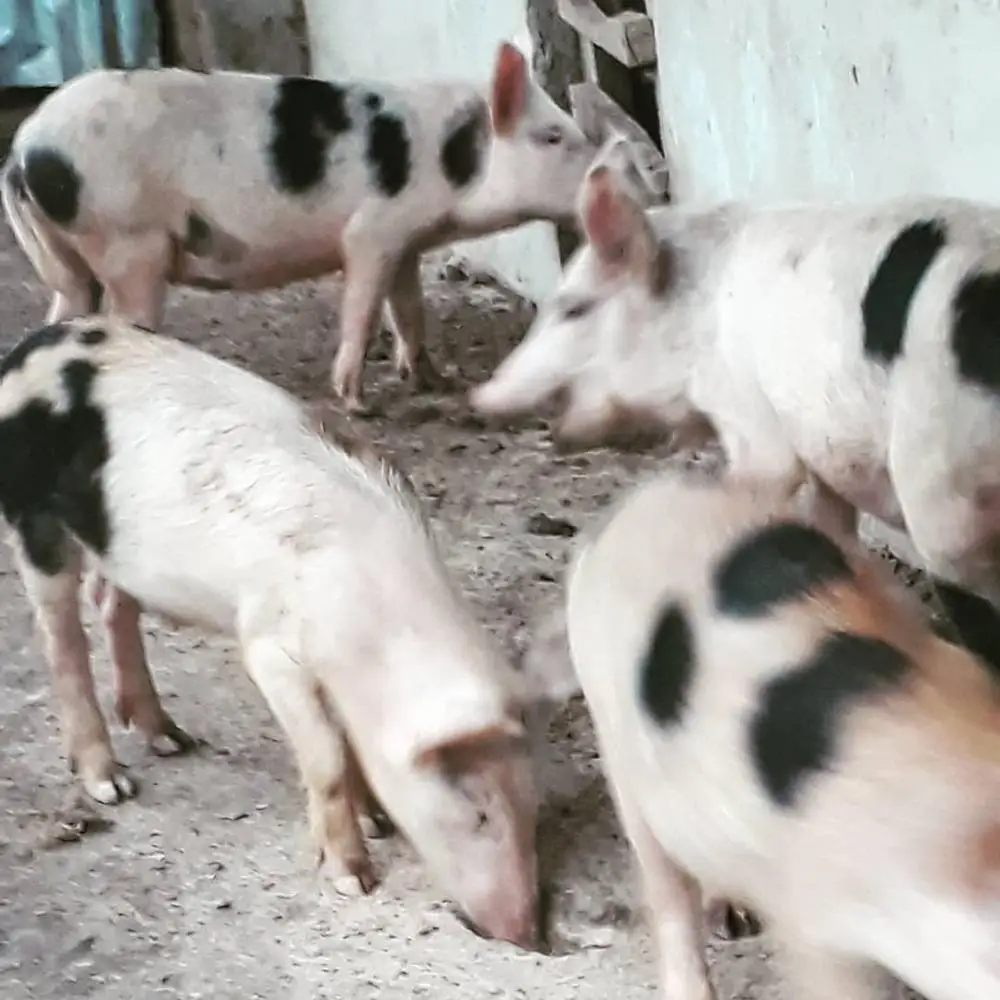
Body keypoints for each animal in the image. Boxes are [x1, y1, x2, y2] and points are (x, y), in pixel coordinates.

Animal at [0, 42, 603, 411]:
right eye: (552, 136)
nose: (610, 176)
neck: (453, 159)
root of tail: (25, 150)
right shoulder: (372, 231)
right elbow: (363, 308)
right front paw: (358, 404)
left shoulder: (406, 241)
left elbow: (409, 310)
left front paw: (438, 380)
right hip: (127, 242)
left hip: (72, 259)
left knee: (62, 314)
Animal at [0, 316, 541, 949]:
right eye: (478, 813)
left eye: (533, 805)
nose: (531, 934)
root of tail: (30, 349)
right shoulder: (272, 653)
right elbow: (326, 755)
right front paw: (353, 878)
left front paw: (376, 821)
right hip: (33, 521)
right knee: (61, 637)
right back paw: (112, 785)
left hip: (121, 548)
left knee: (113, 604)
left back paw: (171, 739)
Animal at [471, 160, 1000, 681]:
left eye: (573, 309)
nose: (480, 397)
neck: (694, 314)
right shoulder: (820, 442)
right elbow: (831, 516)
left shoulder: (744, 404)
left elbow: (762, 474)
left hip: (943, 481)